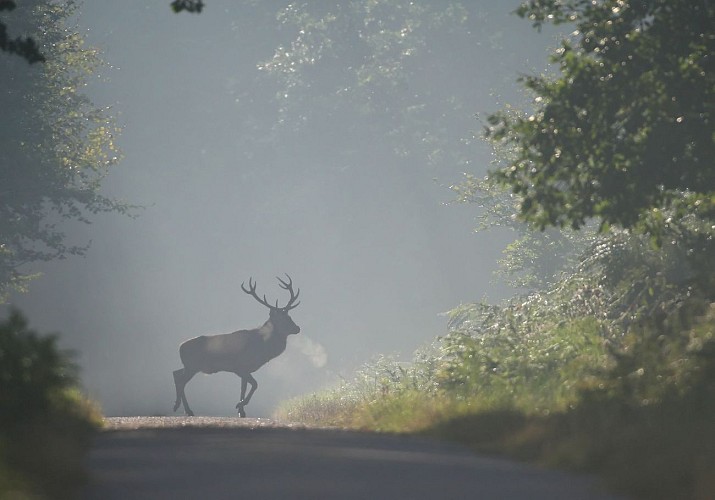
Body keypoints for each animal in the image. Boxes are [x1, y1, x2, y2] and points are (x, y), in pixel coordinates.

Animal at [175, 276, 300, 416]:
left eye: (289, 316)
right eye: (282, 318)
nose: (297, 328)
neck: (262, 348)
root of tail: (180, 347)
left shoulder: (244, 370)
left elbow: (243, 388)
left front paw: (241, 411)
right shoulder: (240, 367)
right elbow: (255, 384)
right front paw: (240, 405)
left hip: (189, 366)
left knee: (176, 374)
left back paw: (180, 406)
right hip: (192, 366)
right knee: (181, 381)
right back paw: (185, 409)